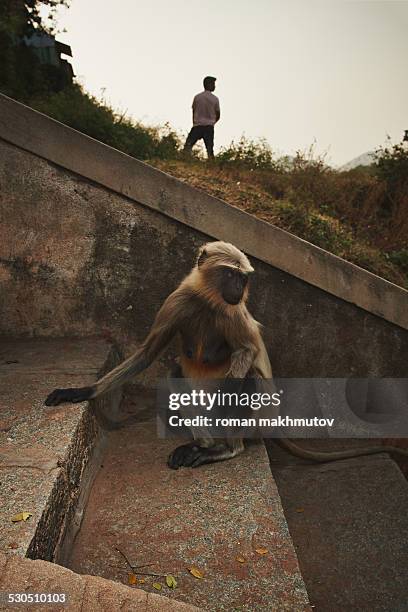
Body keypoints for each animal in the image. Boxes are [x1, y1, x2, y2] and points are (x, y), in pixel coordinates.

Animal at [44, 241, 408, 466]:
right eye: (231, 274)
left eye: (243, 278)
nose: (237, 288)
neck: (208, 302)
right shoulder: (178, 301)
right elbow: (147, 354)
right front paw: (82, 390)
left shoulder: (233, 313)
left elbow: (248, 351)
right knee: (176, 373)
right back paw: (204, 444)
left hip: (259, 417)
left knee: (249, 382)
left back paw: (225, 449)